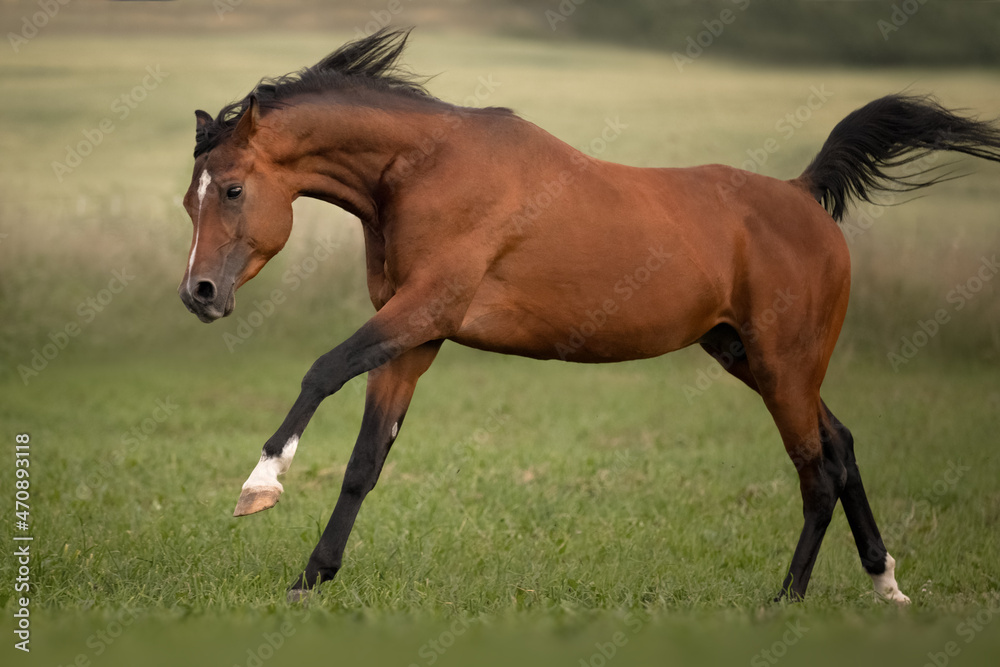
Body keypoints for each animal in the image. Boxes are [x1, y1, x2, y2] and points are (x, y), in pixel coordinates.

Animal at [178, 28, 1000, 603]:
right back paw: (886, 583)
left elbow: (322, 371)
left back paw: (787, 600)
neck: (426, 169)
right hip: (751, 357)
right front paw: (309, 579)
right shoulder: (417, 336)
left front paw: (260, 485)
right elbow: (364, 463)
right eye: (192, 196)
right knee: (844, 446)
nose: (200, 294)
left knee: (819, 469)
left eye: (232, 190)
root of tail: (804, 196)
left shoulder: (423, 309)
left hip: (783, 363)